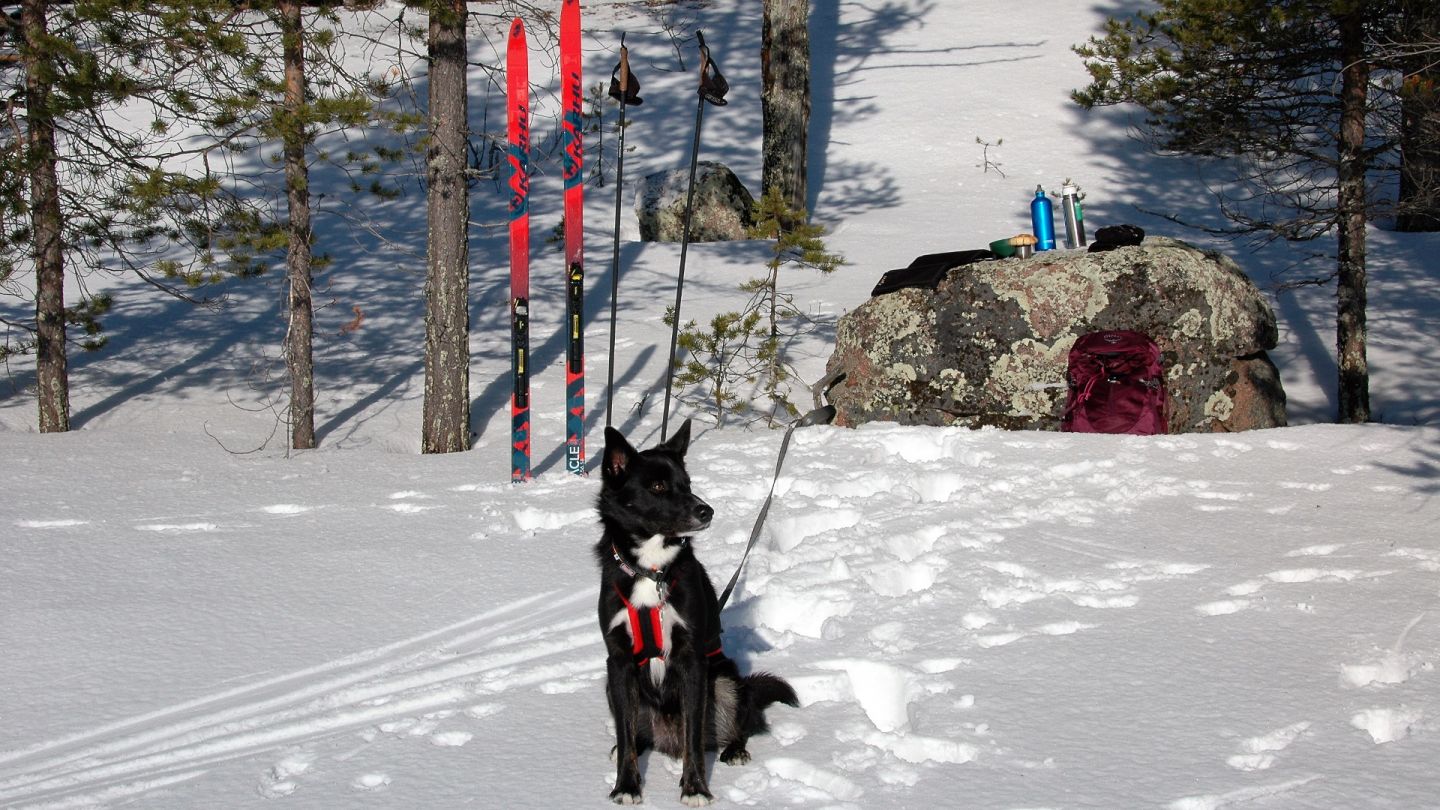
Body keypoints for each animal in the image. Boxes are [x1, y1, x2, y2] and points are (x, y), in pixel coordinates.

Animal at [596, 417, 800, 801]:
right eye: (658, 486)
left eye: (687, 483)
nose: (707, 510)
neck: (651, 570)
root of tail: (667, 738)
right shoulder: (619, 660)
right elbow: (625, 733)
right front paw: (626, 785)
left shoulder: (692, 660)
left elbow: (693, 738)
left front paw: (695, 789)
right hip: (614, 686)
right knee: (632, 731)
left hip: (725, 680)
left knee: (737, 721)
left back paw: (734, 749)